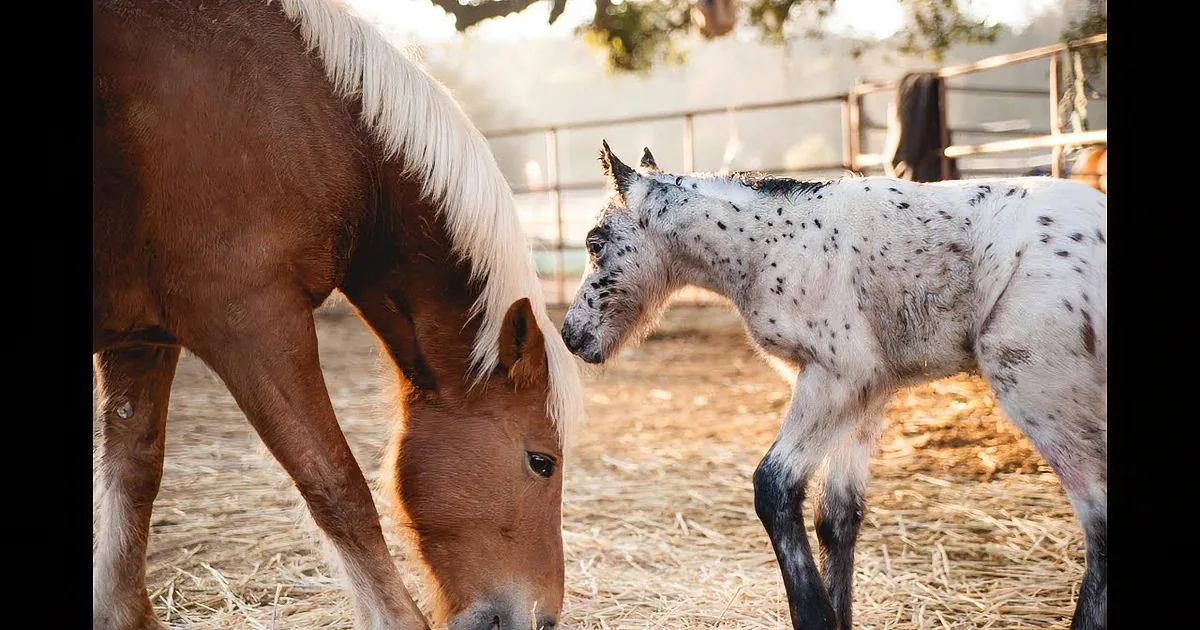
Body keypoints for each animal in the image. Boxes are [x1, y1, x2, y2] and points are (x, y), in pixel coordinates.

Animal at [92, 1, 585, 628]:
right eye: (542, 462)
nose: (543, 618)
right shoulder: (253, 320)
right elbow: (335, 482)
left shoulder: (143, 338)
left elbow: (132, 473)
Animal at [560, 142, 1107, 630]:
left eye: (594, 242)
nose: (571, 335)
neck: (768, 244)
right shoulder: (869, 392)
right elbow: (838, 516)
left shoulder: (836, 377)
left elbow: (774, 487)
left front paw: (816, 616)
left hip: (1035, 383)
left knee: (1099, 517)